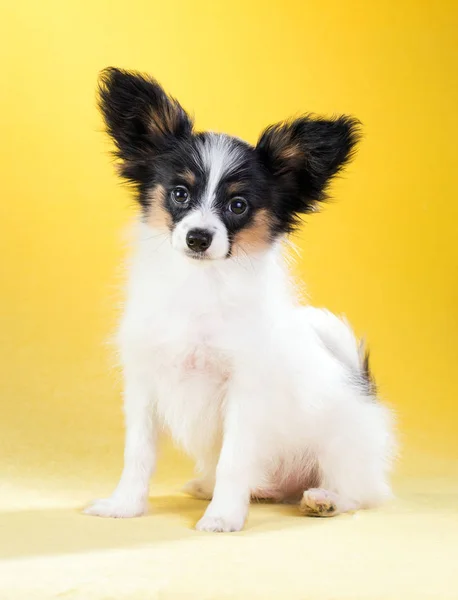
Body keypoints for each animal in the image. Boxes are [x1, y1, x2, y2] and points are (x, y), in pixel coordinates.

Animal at [85, 68, 394, 532]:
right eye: (180, 194)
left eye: (238, 205)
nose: (198, 237)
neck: (200, 285)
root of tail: (363, 391)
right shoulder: (144, 384)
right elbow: (138, 454)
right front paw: (124, 506)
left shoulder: (245, 392)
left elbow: (233, 460)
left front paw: (224, 518)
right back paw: (238, 488)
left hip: (343, 447)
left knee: (360, 492)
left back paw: (323, 499)